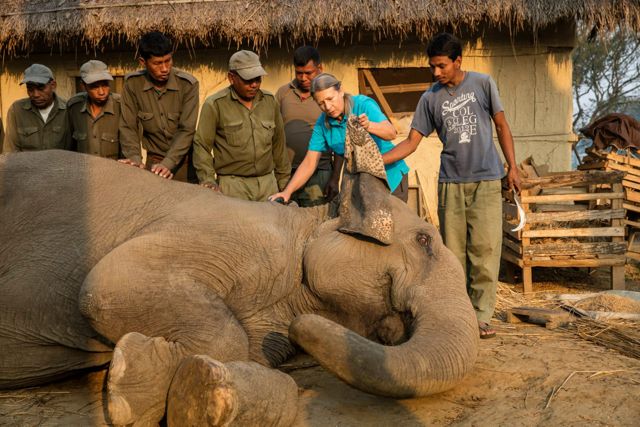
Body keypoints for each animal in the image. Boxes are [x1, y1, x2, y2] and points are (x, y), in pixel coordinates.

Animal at [0, 125, 478, 426]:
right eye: (424, 240)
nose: (303, 328)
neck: (304, 223)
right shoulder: (225, 235)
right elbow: (109, 283)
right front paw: (132, 390)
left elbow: (259, 360)